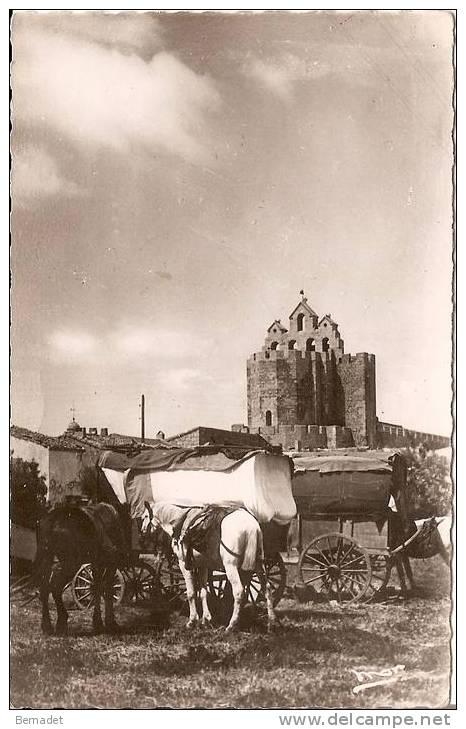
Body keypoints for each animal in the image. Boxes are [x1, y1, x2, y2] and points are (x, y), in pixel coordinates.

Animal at [146, 500, 276, 632]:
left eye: (145, 516)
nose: (143, 533)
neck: (180, 522)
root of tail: (252, 526)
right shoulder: (202, 565)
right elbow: (203, 591)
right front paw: (206, 620)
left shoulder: (183, 564)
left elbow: (191, 592)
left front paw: (192, 621)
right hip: (259, 565)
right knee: (267, 588)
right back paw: (271, 623)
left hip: (231, 567)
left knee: (239, 592)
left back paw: (232, 625)